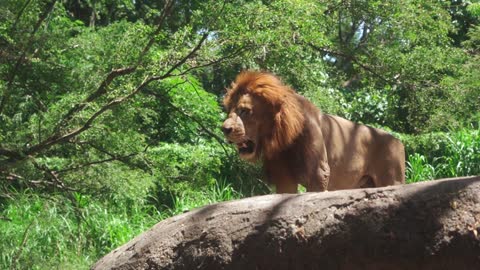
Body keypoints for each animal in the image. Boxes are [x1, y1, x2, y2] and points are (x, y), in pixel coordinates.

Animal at [221, 70, 404, 193]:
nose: (224, 129)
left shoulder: (319, 173)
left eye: (245, 111)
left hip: (392, 180)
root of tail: (398, 141)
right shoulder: (284, 177)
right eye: (229, 110)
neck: (285, 138)